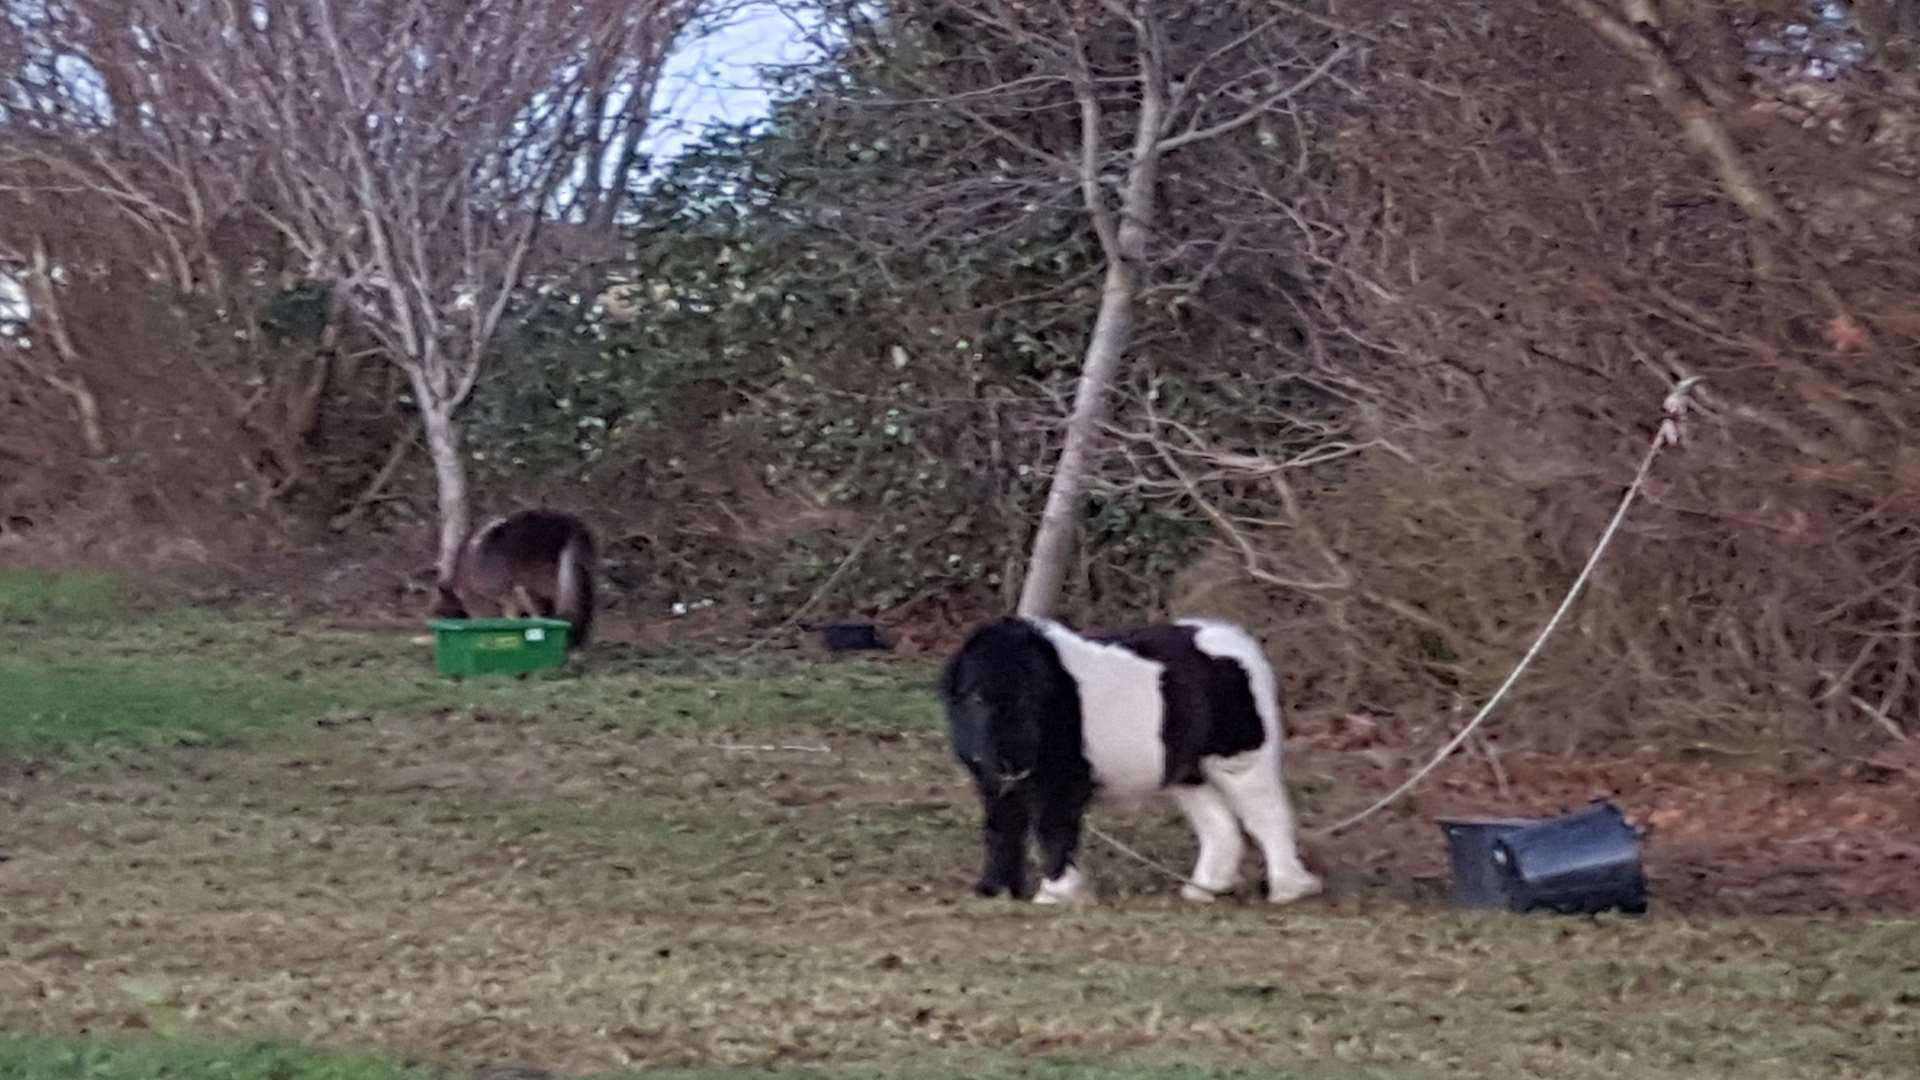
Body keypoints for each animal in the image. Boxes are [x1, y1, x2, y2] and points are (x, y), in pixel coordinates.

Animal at [940, 611, 1320, 903]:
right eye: (976, 698)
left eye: (1035, 699)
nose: (1012, 763)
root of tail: (1241, 646)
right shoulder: (994, 784)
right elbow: (1002, 830)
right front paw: (995, 890)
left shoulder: (1062, 782)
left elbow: (1052, 828)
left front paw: (1057, 893)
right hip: (1189, 773)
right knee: (1218, 825)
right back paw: (1204, 889)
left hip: (1241, 761)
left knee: (1266, 816)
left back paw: (1287, 889)